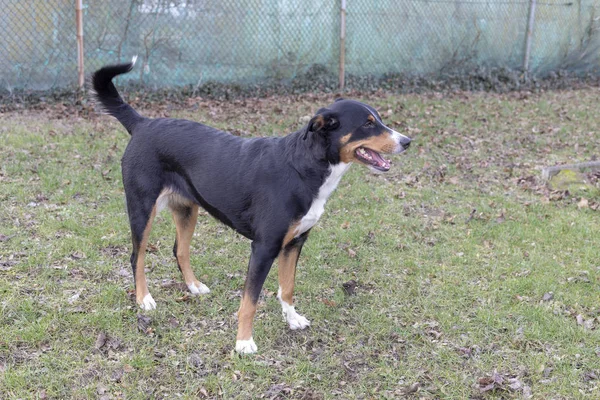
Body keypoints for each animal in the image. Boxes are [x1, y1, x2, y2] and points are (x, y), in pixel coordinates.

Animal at [91, 57, 410, 354]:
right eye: (367, 123)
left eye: (378, 119)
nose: (407, 141)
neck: (304, 167)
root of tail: (143, 123)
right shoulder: (264, 247)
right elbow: (250, 300)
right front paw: (243, 343)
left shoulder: (294, 243)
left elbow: (287, 288)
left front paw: (292, 319)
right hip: (142, 207)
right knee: (137, 256)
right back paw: (144, 299)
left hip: (187, 209)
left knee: (179, 250)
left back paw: (194, 287)